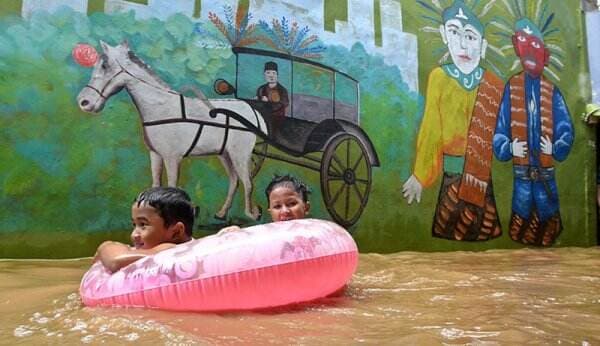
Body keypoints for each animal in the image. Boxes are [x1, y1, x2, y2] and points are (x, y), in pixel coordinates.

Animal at [77, 39, 264, 219]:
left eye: (105, 66)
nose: (84, 102)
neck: (161, 108)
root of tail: (252, 111)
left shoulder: (172, 158)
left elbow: (172, 187)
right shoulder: (156, 155)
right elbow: (156, 185)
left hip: (240, 155)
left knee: (247, 182)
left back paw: (251, 214)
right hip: (224, 154)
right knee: (234, 181)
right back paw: (222, 213)